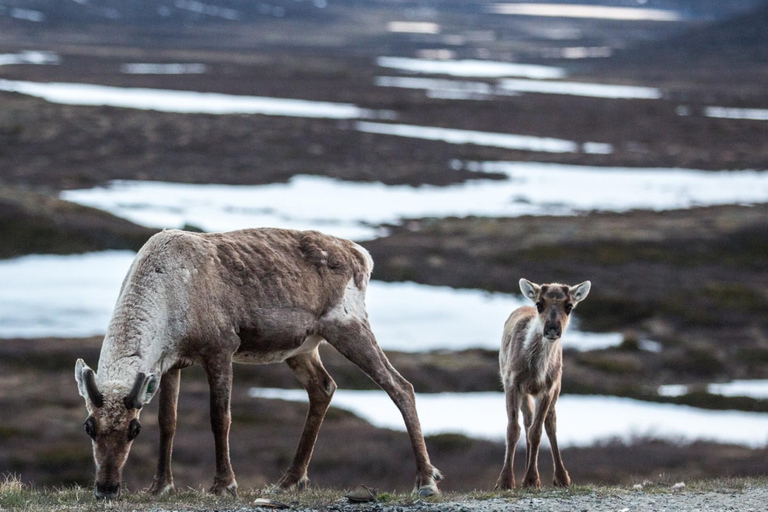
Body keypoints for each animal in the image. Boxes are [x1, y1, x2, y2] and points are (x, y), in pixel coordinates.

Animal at [74, 228, 442, 499]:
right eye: (89, 427)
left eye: (133, 430)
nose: (106, 488)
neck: (166, 293)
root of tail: (361, 254)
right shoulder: (171, 363)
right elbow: (169, 421)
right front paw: (160, 486)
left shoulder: (220, 349)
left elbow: (220, 418)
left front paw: (224, 485)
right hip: (302, 348)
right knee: (324, 388)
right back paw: (289, 480)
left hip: (348, 326)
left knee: (400, 386)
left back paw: (426, 480)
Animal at [495, 278, 591, 490]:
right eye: (539, 304)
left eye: (569, 306)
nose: (552, 328)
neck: (535, 369)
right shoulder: (512, 384)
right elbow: (513, 429)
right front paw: (505, 481)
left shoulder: (547, 389)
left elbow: (537, 432)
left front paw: (532, 479)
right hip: (523, 391)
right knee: (527, 420)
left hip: (557, 388)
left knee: (550, 423)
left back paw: (562, 477)